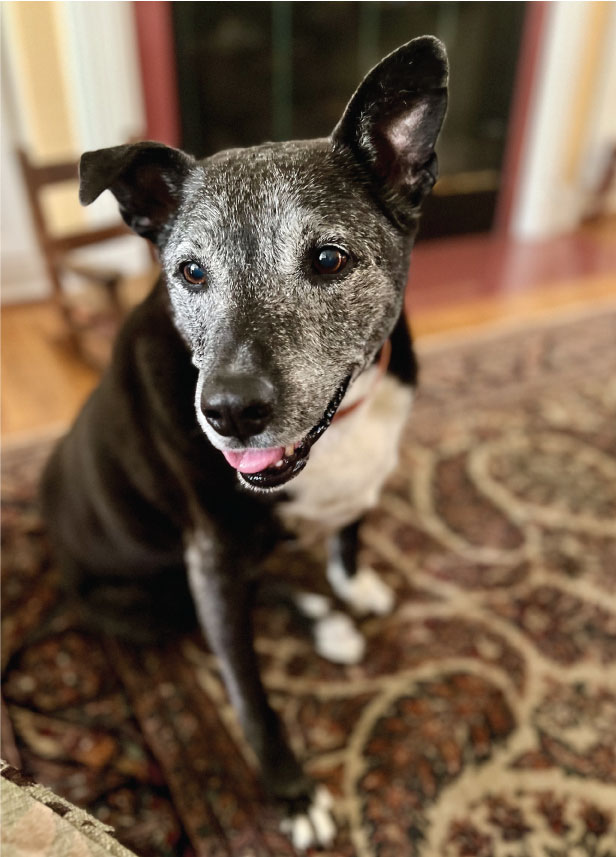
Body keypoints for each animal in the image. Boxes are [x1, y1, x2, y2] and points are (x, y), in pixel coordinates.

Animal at [42, 36, 448, 844]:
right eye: (191, 272)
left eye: (328, 259)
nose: (228, 411)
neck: (341, 422)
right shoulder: (213, 557)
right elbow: (250, 694)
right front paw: (292, 794)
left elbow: (348, 530)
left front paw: (350, 582)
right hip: (150, 600)